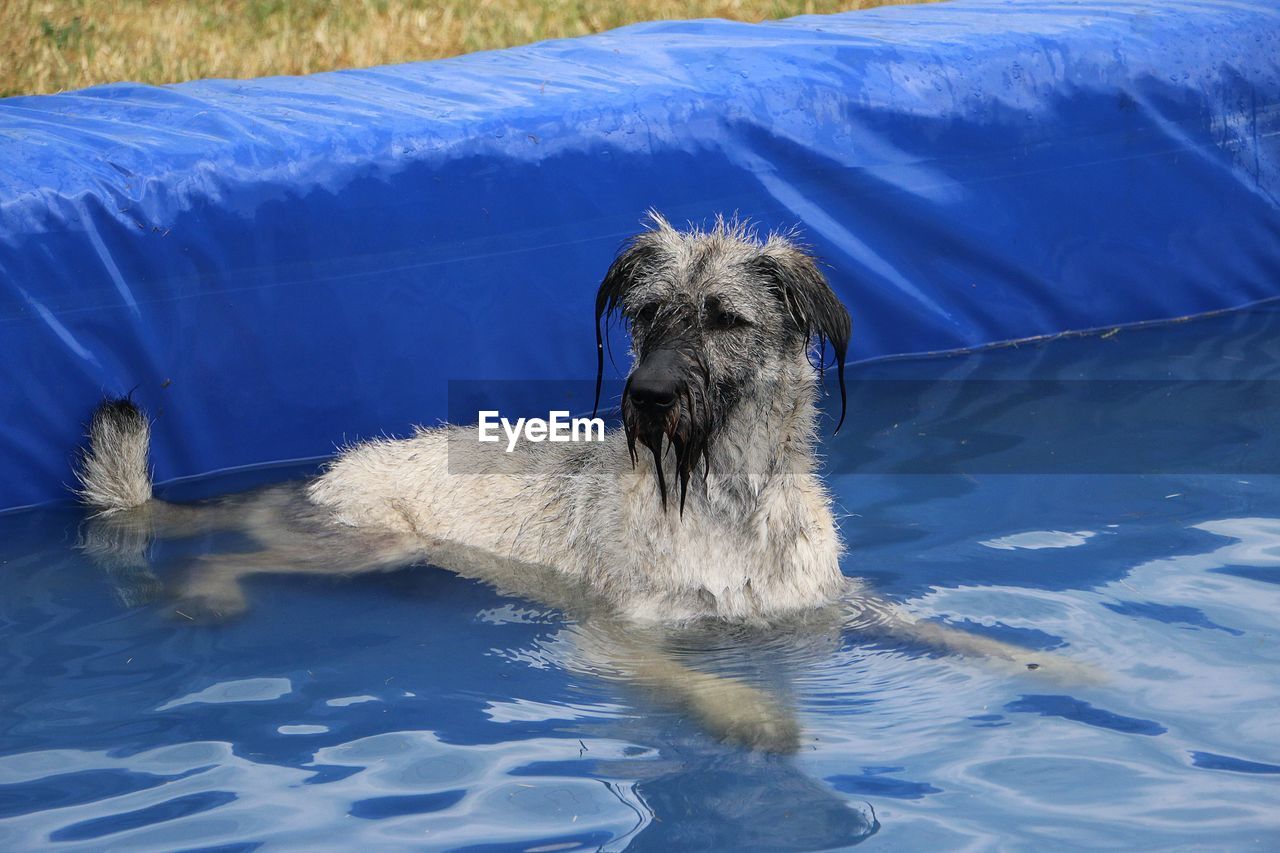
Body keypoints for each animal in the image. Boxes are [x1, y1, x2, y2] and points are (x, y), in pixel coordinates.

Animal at [72, 213, 1070, 753]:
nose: (649, 395)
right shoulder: (615, 638)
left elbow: (957, 635)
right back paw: (208, 594)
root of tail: (327, 472)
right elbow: (697, 681)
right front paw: (751, 714)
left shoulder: (828, 605)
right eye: (647, 314)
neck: (728, 497)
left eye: (725, 318)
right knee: (227, 558)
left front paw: (1065, 668)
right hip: (371, 544)